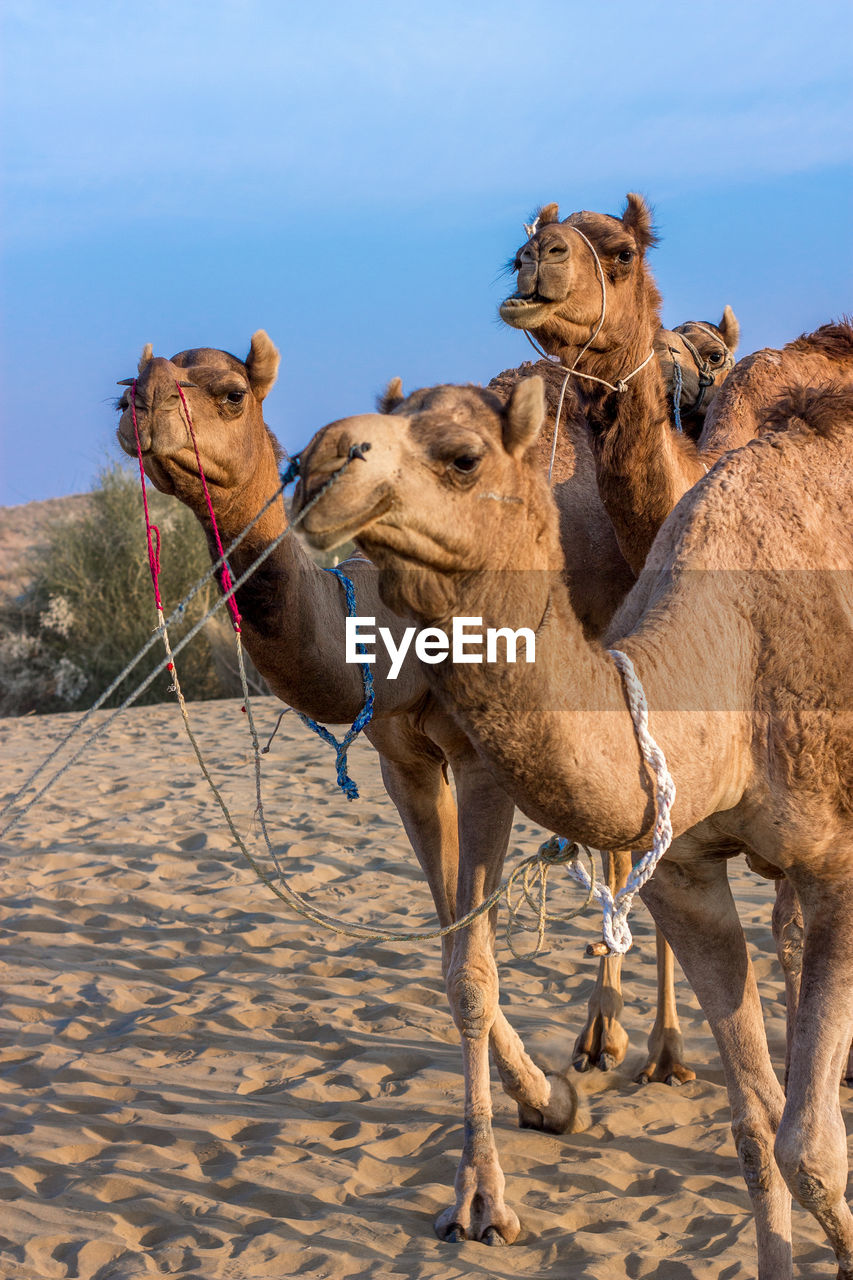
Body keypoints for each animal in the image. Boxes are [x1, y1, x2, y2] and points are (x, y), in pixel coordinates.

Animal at [114, 317, 732, 1239]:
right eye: (132, 381)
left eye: (228, 392)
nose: (139, 406)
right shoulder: (402, 761)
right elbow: (449, 954)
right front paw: (547, 1098)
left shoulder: (480, 762)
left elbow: (473, 968)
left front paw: (483, 1198)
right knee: (622, 848)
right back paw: (600, 1040)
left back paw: (661, 1053)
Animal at [295, 373, 850, 1274]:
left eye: (461, 456)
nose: (317, 463)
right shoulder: (685, 876)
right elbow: (758, 1126)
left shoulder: (836, 863)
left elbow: (811, 1150)